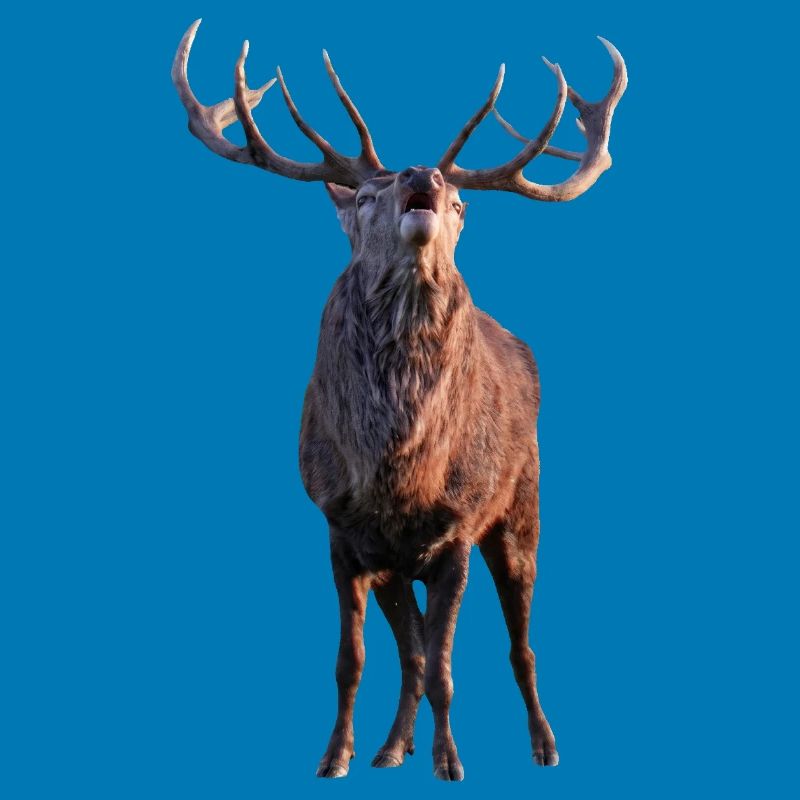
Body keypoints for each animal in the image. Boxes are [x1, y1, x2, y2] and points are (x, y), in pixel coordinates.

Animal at [172, 19, 626, 781]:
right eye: (364, 198)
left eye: (461, 206)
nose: (424, 175)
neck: (398, 469)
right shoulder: (343, 529)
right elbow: (354, 661)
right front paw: (337, 756)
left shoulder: (457, 529)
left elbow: (445, 666)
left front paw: (451, 761)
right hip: (399, 563)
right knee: (409, 649)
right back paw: (392, 746)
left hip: (522, 511)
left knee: (520, 642)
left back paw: (544, 743)